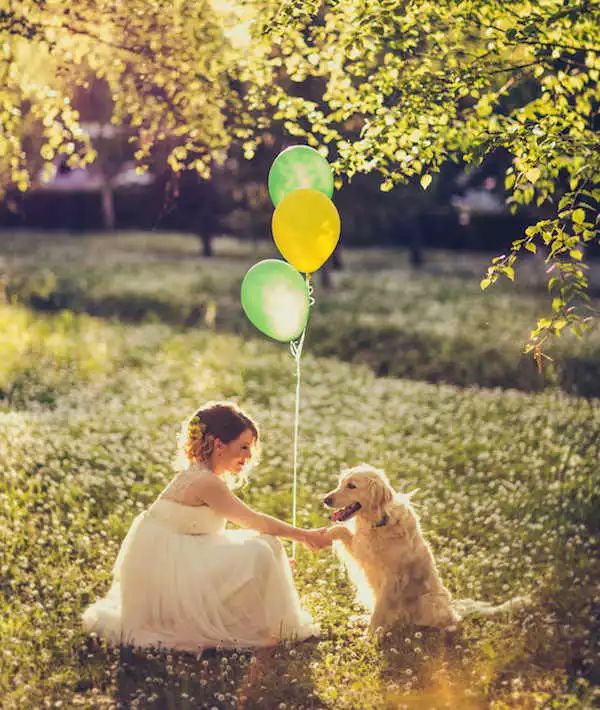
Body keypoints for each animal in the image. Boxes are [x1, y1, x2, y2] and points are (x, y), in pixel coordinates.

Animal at [324, 468, 528, 636]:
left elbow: (380, 611)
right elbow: (340, 530)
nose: (325, 499)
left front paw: (371, 636)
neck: (380, 522)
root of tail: (452, 607)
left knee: (447, 621)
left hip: (428, 601)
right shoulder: (362, 551)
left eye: (351, 486)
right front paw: (325, 534)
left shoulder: (393, 578)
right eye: (340, 483)